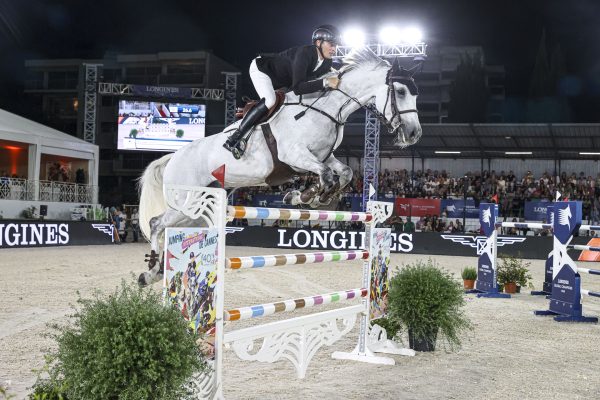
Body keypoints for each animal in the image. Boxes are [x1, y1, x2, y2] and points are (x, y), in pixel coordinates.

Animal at [137, 48, 422, 286]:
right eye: (400, 91)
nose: (414, 134)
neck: (326, 109)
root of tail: (173, 157)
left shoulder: (324, 156)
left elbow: (343, 173)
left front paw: (311, 197)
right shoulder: (294, 155)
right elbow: (326, 175)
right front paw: (306, 196)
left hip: (198, 207)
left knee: (169, 227)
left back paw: (156, 271)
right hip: (187, 201)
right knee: (156, 223)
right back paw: (149, 272)